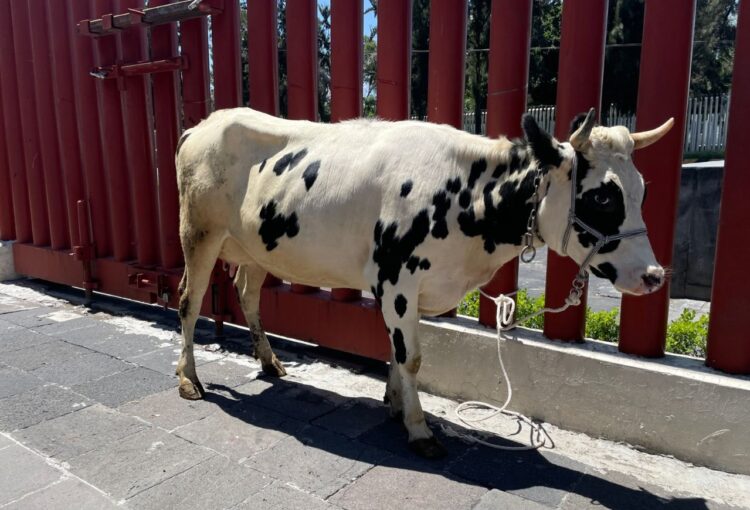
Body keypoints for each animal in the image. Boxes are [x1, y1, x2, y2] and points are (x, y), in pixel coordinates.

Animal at [174, 107, 672, 458]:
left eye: (643, 191)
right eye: (603, 197)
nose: (654, 276)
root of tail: (201, 124)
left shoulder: (410, 287)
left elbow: (398, 353)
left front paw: (396, 405)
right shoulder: (397, 277)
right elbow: (410, 357)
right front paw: (418, 429)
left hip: (255, 247)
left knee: (247, 294)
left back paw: (270, 362)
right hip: (198, 233)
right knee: (189, 303)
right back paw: (189, 380)